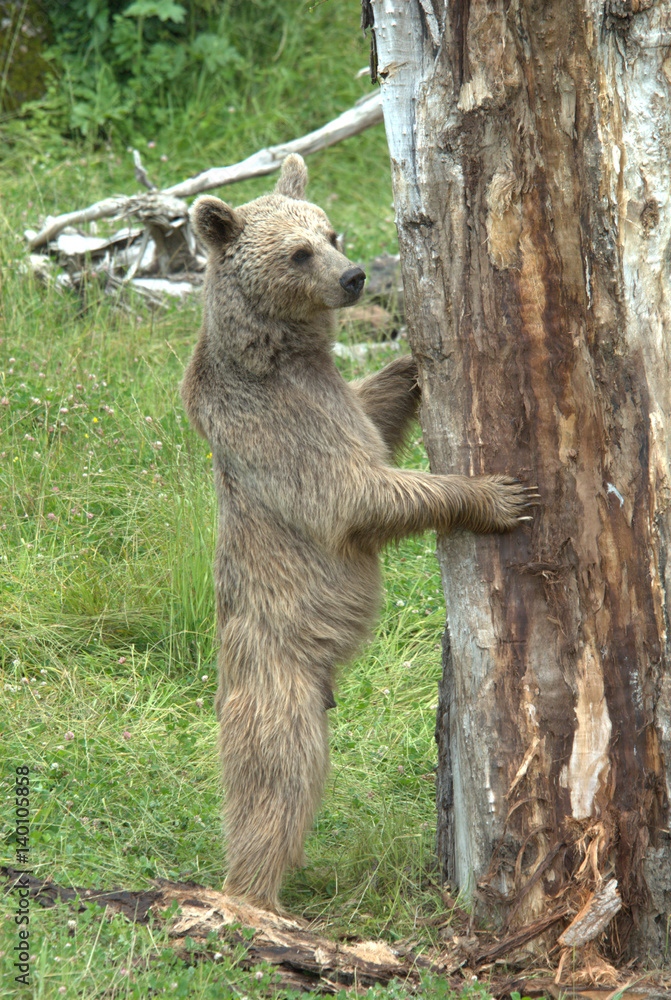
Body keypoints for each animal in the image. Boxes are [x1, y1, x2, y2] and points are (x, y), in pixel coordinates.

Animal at [180, 154, 534, 912]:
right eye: (297, 252)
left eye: (331, 231)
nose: (354, 277)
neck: (278, 353)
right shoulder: (282, 426)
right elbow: (358, 493)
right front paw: (499, 494)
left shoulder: (332, 395)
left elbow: (374, 410)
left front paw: (411, 364)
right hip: (274, 675)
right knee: (274, 780)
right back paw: (253, 894)